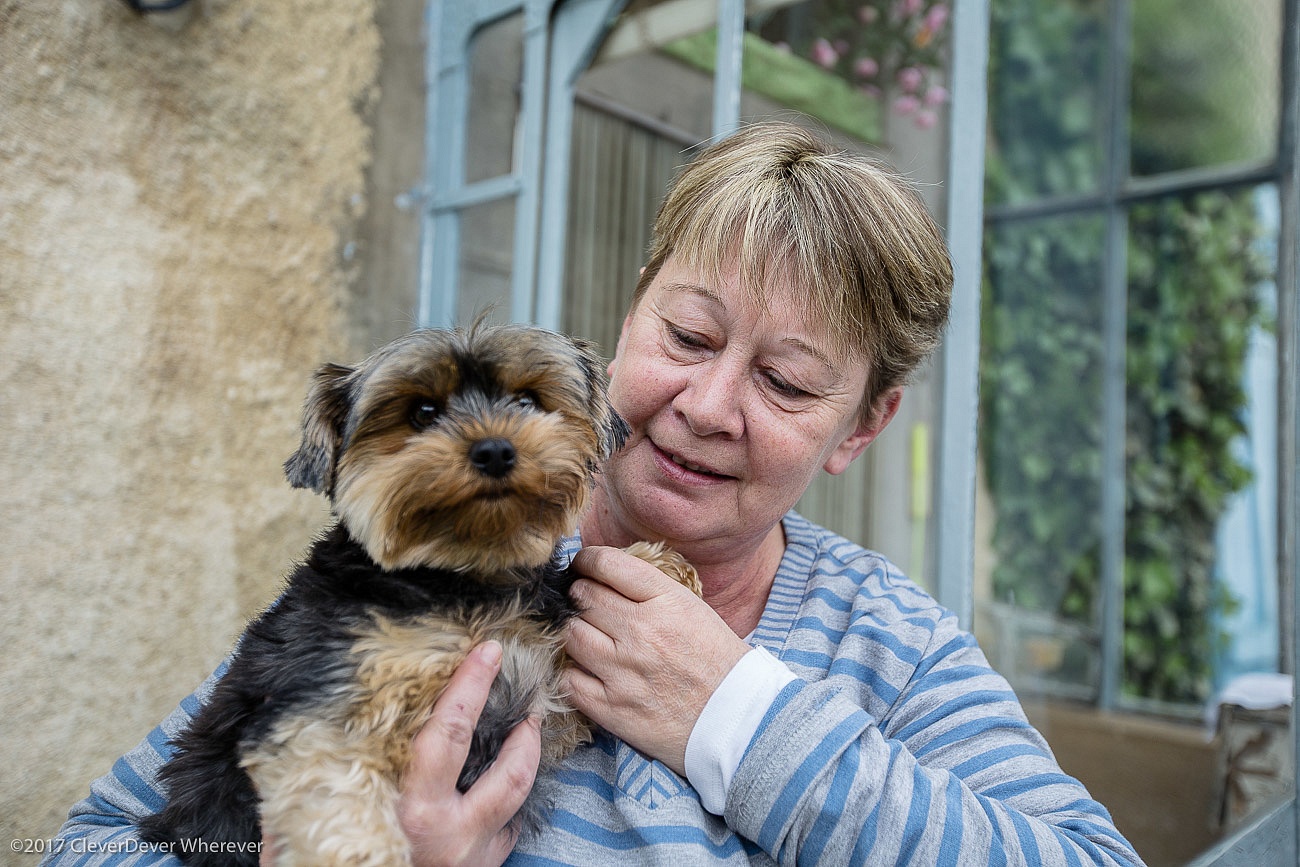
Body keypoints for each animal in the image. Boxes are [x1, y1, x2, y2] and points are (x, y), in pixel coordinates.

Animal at [142, 324, 702, 867]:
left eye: (526, 401)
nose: (495, 449)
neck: (462, 584)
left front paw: (661, 565)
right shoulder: (320, 702)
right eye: (423, 413)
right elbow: (337, 792)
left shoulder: (541, 695)